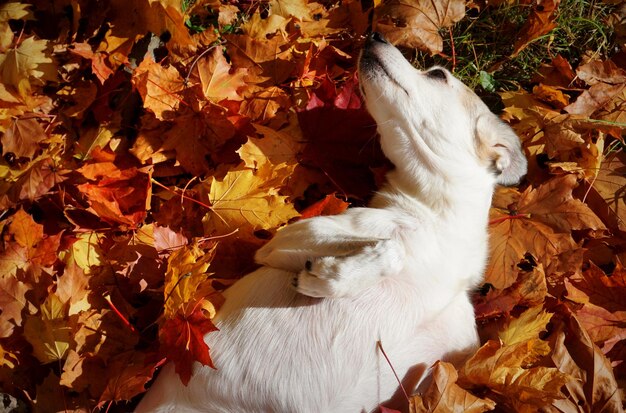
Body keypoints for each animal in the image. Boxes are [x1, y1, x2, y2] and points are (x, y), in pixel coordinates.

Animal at [135, 33, 520, 412]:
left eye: (438, 74)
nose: (374, 35)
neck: (440, 231)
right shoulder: (287, 240)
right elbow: (393, 250)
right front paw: (330, 276)